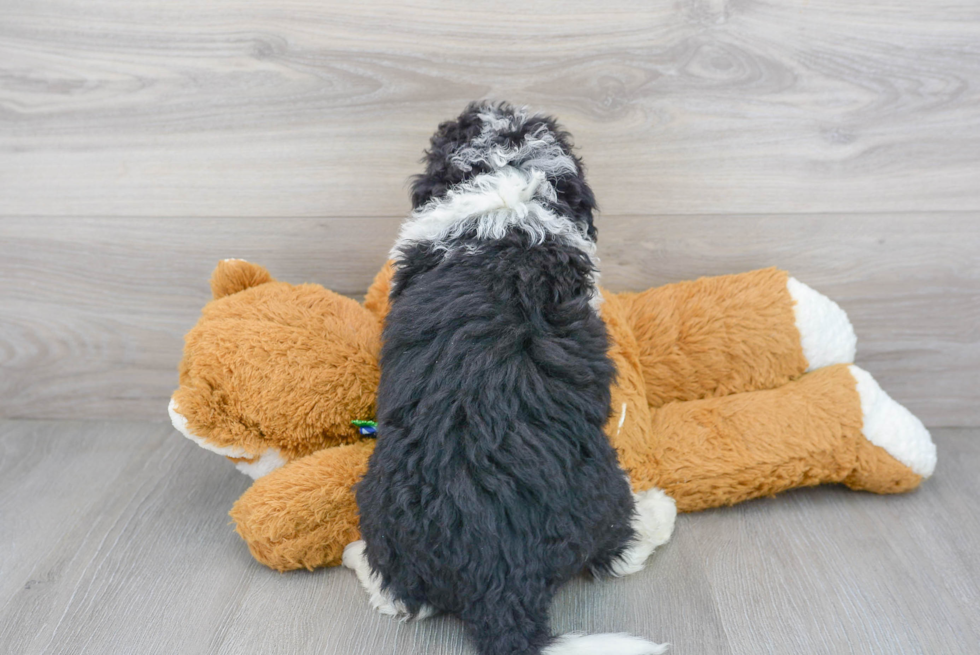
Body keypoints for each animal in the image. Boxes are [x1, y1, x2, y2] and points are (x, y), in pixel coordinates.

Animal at [344, 101, 672, 655]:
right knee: (616, 550)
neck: (506, 178)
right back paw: (658, 514)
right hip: (602, 488)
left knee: (405, 593)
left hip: (381, 501)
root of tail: (500, 576)